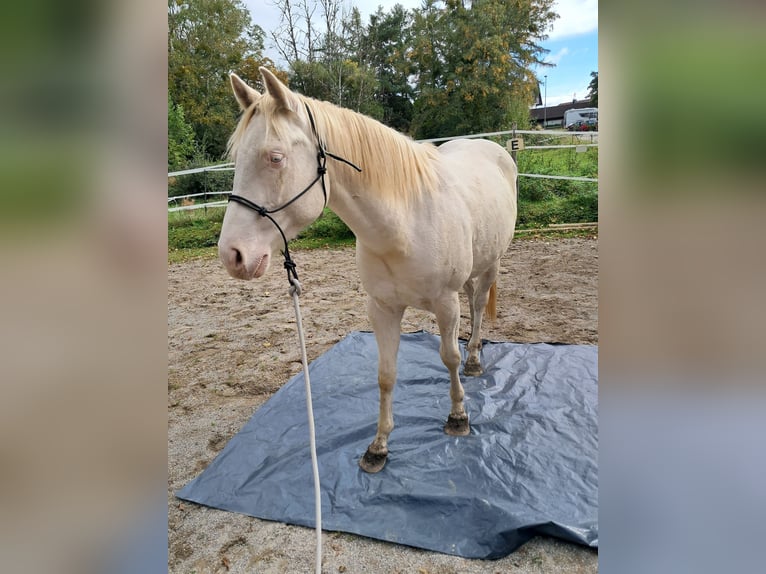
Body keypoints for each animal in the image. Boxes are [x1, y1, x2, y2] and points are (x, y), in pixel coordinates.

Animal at [218, 68, 518, 473]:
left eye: (275, 158)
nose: (232, 255)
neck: (404, 225)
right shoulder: (382, 309)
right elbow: (386, 375)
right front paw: (379, 446)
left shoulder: (445, 303)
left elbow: (448, 357)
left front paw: (458, 417)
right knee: (473, 302)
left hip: (490, 266)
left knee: (478, 306)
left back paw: (473, 359)